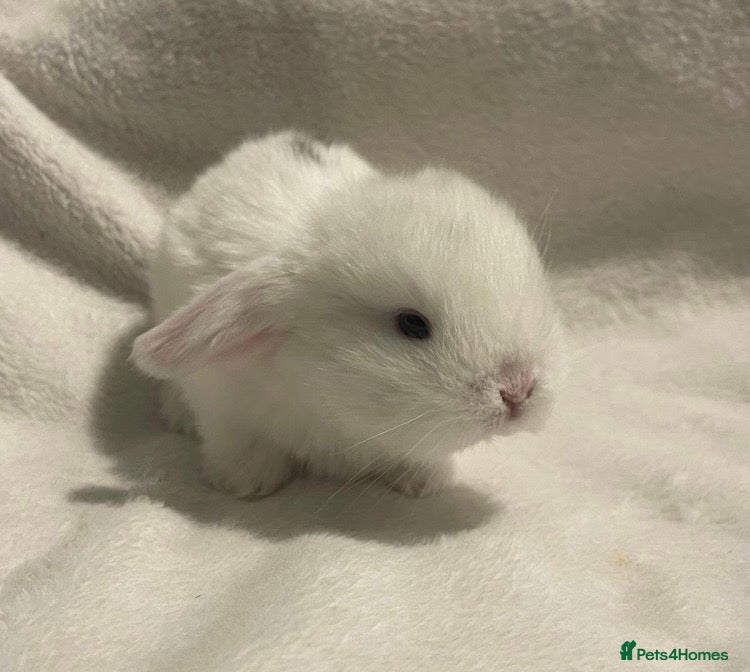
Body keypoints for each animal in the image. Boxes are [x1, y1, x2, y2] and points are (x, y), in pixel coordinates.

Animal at [131, 131, 561, 499]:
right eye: (411, 323)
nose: (518, 390)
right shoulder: (222, 405)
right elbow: (237, 440)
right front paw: (245, 483)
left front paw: (425, 482)